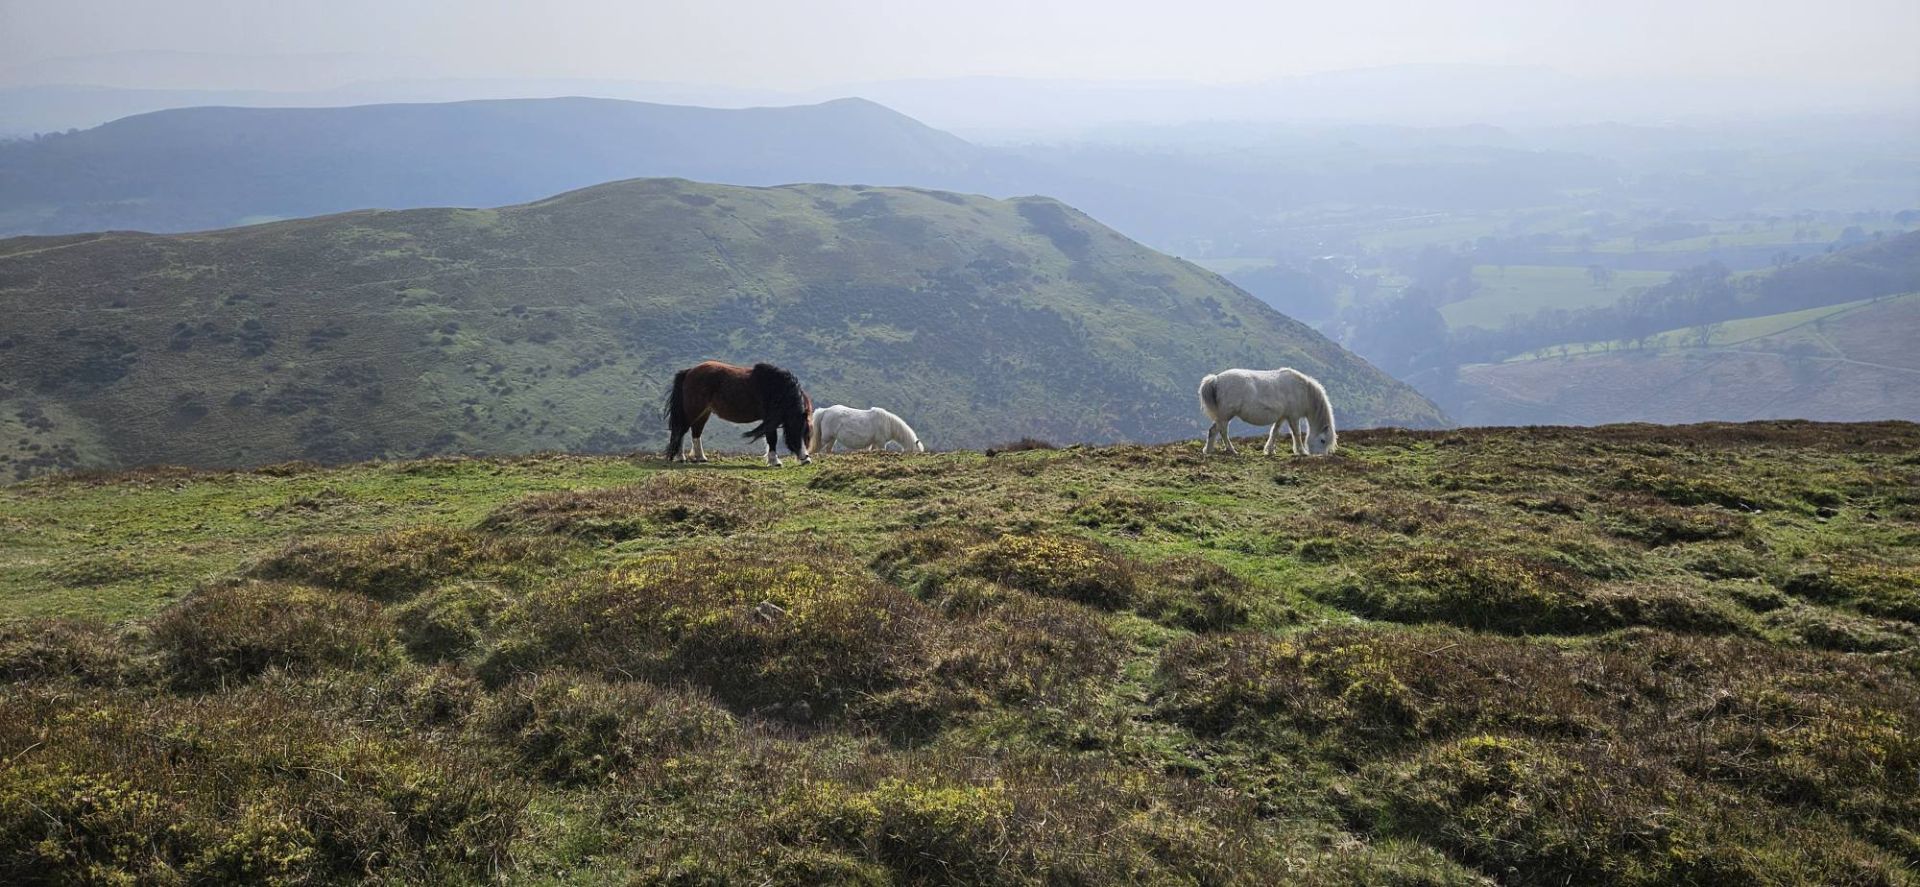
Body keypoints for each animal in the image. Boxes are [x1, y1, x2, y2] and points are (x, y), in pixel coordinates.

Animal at [663, 361, 813, 466]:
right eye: (795, 430)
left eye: (806, 433)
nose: (806, 459)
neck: (776, 388)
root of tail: (689, 372)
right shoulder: (770, 418)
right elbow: (772, 438)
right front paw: (775, 461)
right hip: (693, 410)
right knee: (681, 430)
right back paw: (680, 457)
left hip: (704, 412)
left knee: (696, 432)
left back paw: (701, 457)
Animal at [1198, 367, 1338, 456]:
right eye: (1323, 440)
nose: (1321, 456)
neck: (1303, 391)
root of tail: (1216, 379)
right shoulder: (1293, 417)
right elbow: (1296, 434)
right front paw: (1301, 451)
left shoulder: (1282, 417)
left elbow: (1274, 432)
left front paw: (1269, 450)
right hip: (1225, 416)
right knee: (1218, 431)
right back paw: (1227, 451)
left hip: (1223, 416)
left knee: (1217, 431)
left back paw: (1214, 450)